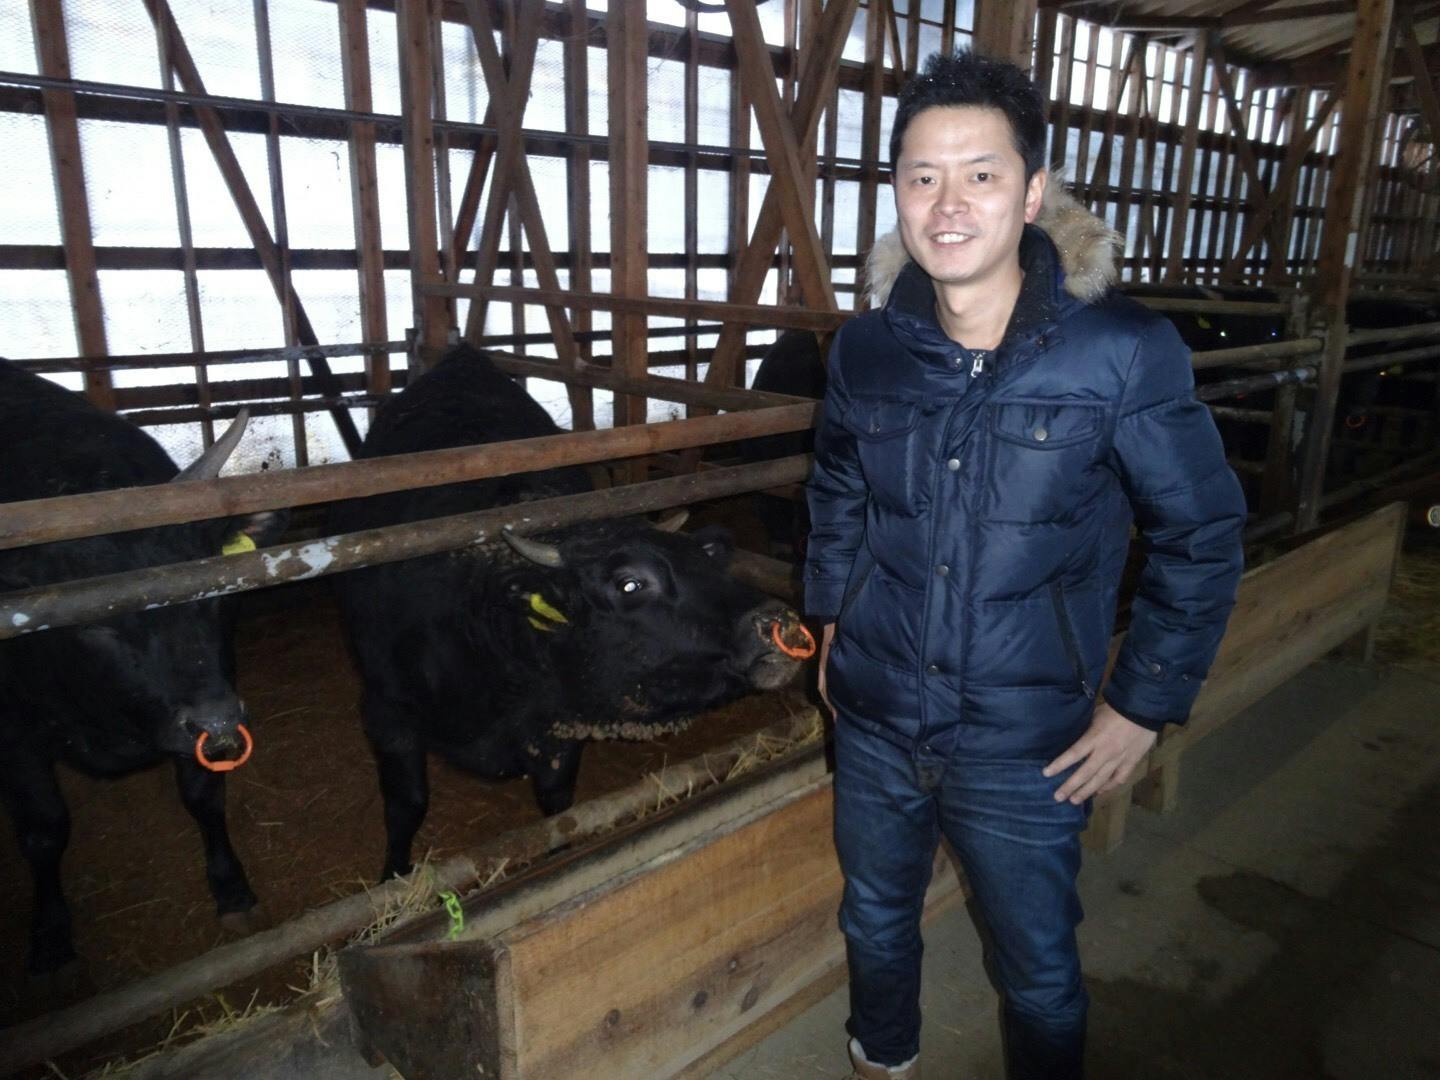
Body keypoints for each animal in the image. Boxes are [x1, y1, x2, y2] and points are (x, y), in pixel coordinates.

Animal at [0, 360, 280, 981]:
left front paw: (232, 890)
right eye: (91, 620)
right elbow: (43, 829)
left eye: (213, 592)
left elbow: (204, 797)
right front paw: (51, 941)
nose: (218, 723)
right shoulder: (15, 734)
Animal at [327, 346, 809, 881]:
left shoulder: (559, 727)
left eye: (704, 562)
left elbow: (557, 805)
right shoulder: (385, 712)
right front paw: (393, 876)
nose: (779, 623)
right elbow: (407, 805)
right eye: (630, 583)